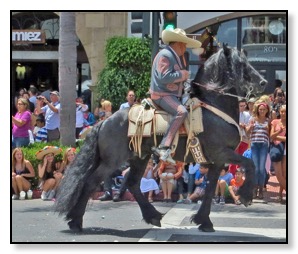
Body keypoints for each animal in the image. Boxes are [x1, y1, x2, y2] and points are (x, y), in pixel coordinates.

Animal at [54, 44, 266, 232]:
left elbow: (211, 187)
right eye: (242, 65)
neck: (213, 106)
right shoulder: (222, 153)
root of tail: (104, 122)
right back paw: (76, 222)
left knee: (132, 183)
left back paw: (152, 216)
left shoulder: (217, 160)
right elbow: (250, 164)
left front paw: (204, 221)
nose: (263, 82)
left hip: (139, 157)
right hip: (112, 161)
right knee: (91, 183)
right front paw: (245, 195)